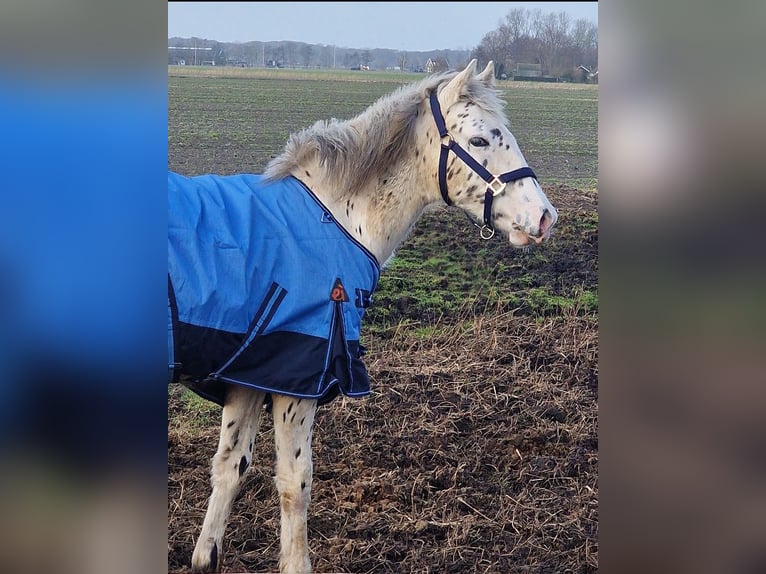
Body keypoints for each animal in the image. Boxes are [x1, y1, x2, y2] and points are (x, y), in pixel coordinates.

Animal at [170, 60, 560, 572]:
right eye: (479, 140)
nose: (545, 217)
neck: (332, 219)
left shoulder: (252, 375)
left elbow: (229, 469)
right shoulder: (298, 381)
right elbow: (294, 482)